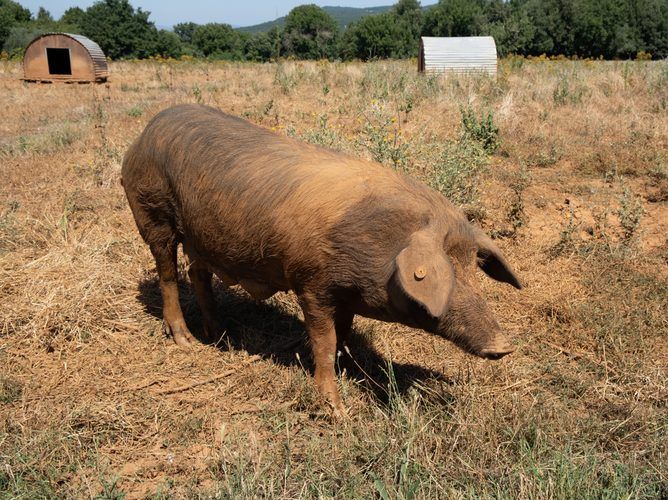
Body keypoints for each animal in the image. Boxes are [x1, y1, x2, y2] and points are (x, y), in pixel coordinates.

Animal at [121, 104, 522, 415]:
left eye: (472, 269)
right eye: (447, 273)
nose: (504, 345)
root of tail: (147, 130)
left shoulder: (344, 295)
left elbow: (342, 334)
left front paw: (348, 370)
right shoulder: (311, 284)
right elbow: (324, 341)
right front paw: (336, 410)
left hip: (203, 236)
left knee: (198, 274)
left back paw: (219, 334)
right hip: (153, 212)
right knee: (167, 272)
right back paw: (185, 340)